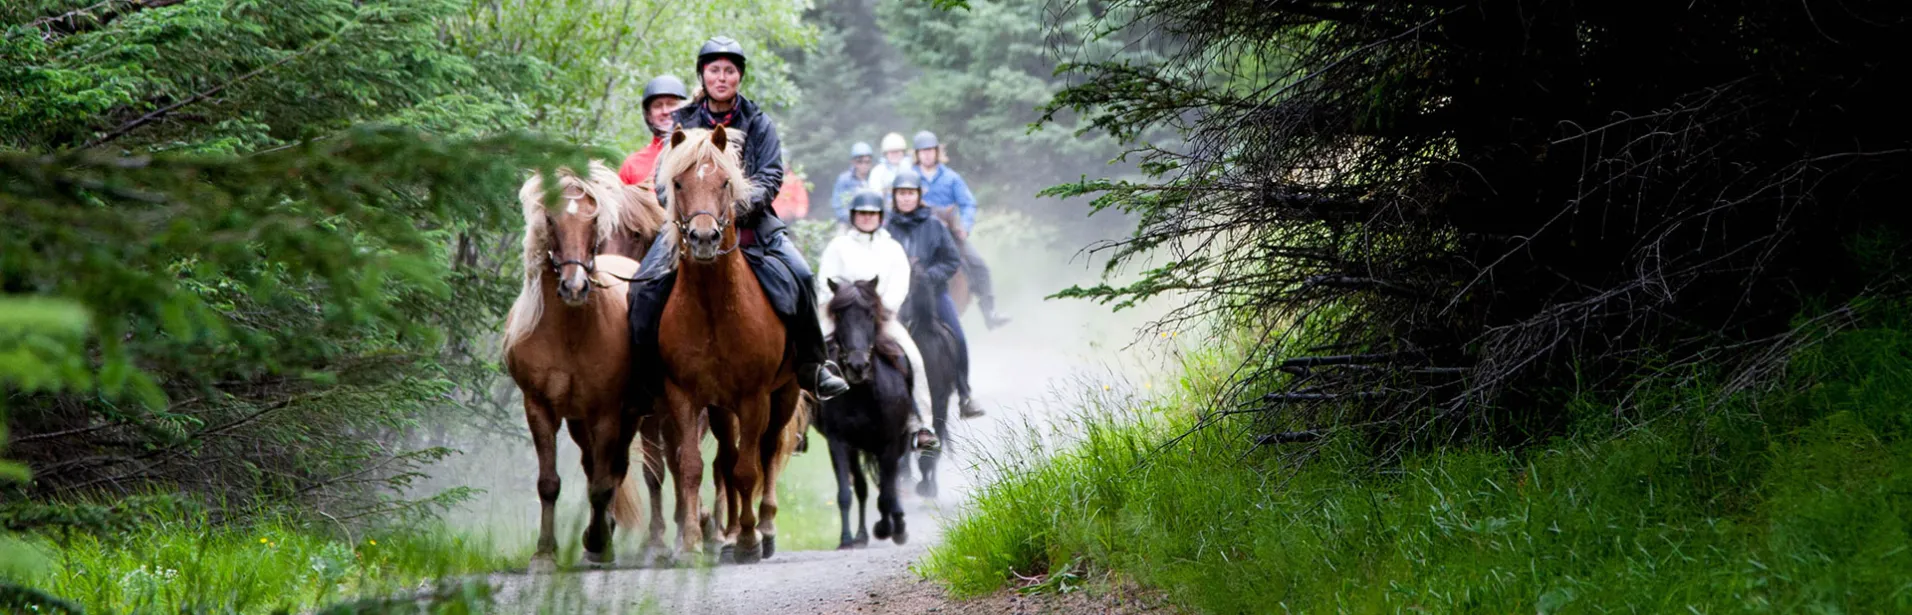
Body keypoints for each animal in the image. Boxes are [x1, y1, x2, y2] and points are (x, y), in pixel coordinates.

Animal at [504, 159, 669, 565]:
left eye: (593, 221)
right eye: (550, 220)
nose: (574, 287)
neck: (569, 333)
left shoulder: (608, 412)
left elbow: (602, 484)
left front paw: (598, 542)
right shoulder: (540, 408)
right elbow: (549, 483)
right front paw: (544, 553)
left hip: (638, 413)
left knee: (627, 470)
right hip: (581, 421)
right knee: (598, 465)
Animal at [657, 127, 806, 565]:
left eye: (725, 182)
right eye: (678, 183)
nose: (704, 238)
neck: (713, 310)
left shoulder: (755, 396)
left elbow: (747, 470)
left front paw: (748, 541)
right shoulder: (684, 394)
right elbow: (692, 466)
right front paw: (691, 543)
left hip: (784, 393)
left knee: (766, 452)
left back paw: (764, 527)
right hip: (721, 406)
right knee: (726, 456)